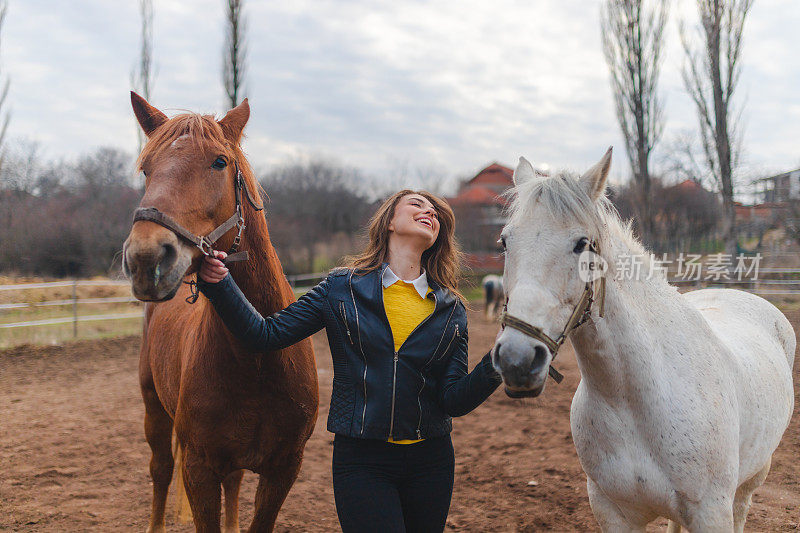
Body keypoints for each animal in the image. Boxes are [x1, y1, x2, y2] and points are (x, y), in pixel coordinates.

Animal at [122, 92, 316, 532]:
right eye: (146, 168)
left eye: (219, 162)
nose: (146, 259)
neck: (258, 356)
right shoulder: (198, 469)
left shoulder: (285, 468)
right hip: (152, 407)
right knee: (160, 470)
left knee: (234, 481)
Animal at [494, 148, 792, 528]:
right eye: (505, 242)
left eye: (581, 244)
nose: (516, 359)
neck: (633, 401)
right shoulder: (612, 511)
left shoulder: (711, 512)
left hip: (752, 480)